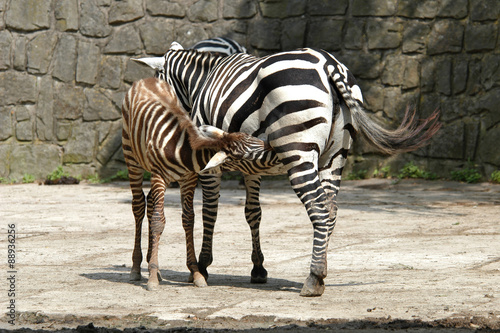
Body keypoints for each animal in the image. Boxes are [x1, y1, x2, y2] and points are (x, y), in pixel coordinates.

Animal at [122, 76, 278, 290]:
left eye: (254, 139)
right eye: (250, 154)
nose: (278, 151)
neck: (181, 150)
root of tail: (147, 79)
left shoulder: (188, 179)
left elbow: (189, 220)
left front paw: (195, 273)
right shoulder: (159, 176)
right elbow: (158, 221)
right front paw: (152, 277)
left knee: (151, 204)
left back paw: (154, 265)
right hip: (132, 159)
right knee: (138, 206)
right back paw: (137, 268)